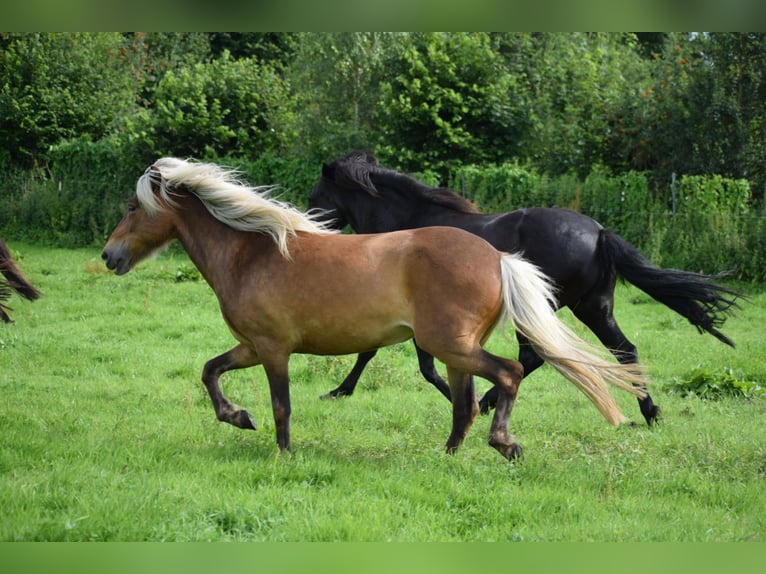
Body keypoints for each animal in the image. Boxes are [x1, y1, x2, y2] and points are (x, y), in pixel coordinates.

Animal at [102, 157, 648, 461]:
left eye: (132, 207)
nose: (109, 256)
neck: (251, 252)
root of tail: (498, 258)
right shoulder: (252, 346)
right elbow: (209, 370)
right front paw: (237, 417)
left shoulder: (274, 350)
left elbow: (282, 406)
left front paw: (282, 452)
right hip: (457, 349)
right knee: (467, 403)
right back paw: (448, 458)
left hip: (451, 344)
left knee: (508, 374)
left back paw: (505, 443)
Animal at [308, 150, 743, 425]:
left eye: (318, 194)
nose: (310, 224)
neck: (407, 222)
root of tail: (599, 232)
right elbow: (387, 355)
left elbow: (403, 361)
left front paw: (339, 391)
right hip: (594, 307)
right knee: (624, 350)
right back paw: (650, 413)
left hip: (544, 308)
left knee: (534, 356)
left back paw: (490, 400)